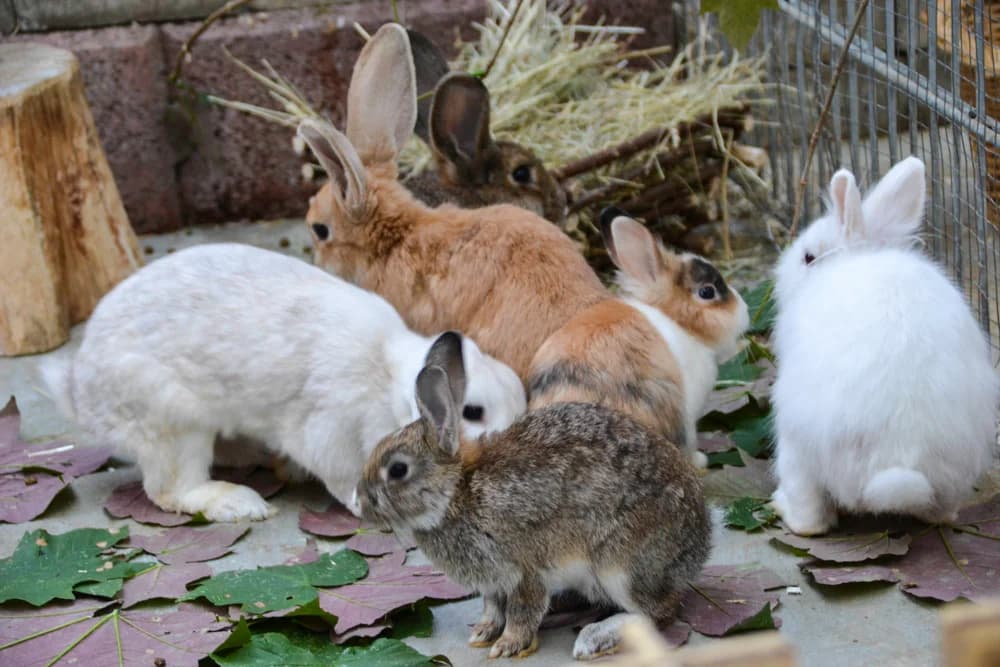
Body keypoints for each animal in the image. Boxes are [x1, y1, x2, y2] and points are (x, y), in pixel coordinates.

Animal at [40, 243, 526, 523]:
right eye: (473, 412)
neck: (390, 381)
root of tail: (80, 390)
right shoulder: (333, 427)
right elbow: (342, 473)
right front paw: (364, 506)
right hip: (172, 420)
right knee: (171, 489)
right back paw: (240, 504)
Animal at [356, 339, 710, 660]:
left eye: (398, 470)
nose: (358, 503)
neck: (456, 491)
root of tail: (698, 546)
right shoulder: (494, 582)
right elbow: (492, 607)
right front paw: (483, 632)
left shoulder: (524, 569)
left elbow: (522, 611)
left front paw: (507, 645)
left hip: (620, 565)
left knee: (657, 612)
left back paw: (594, 638)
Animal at [770, 156, 1000, 536]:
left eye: (808, 256)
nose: (779, 279)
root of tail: (899, 459)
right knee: (941, 513)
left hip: (794, 445)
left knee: (811, 520)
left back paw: (782, 507)